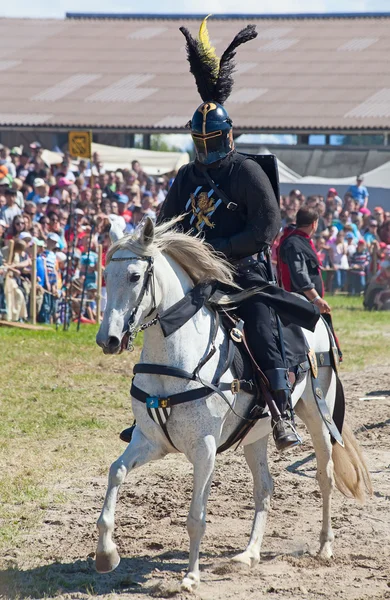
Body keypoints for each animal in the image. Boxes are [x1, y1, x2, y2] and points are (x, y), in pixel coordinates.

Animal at [94, 218, 372, 592]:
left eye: (136, 276)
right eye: (106, 274)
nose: (107, 339)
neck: (175, 357)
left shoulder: (204, 449)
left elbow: (196, 516)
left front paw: (191, 576)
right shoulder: (150, 442)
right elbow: (116, 472)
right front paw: (106, 554)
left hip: (318, 415)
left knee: (324, 476)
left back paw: (325, 546)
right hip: (256, 435)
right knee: (265, 487)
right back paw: (249, 554)